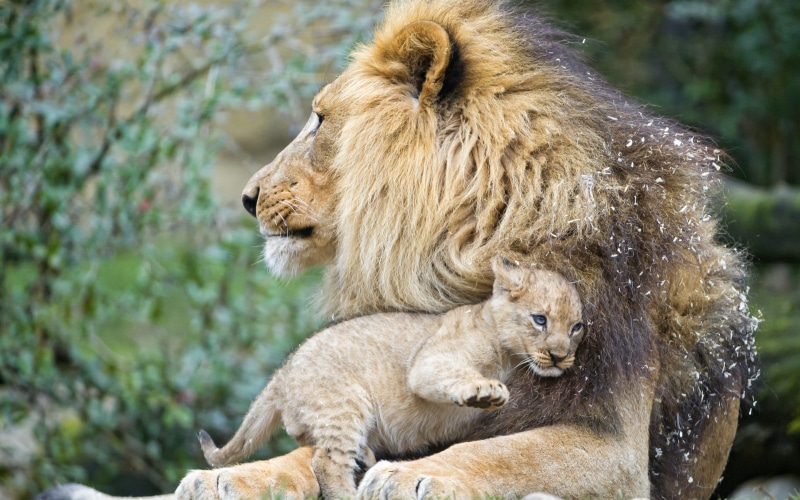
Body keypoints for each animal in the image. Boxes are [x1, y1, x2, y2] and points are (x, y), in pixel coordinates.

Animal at [198, 257, 584, 499]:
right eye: (540, 320)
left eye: (577, 327)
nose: (560, 356)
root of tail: (283, 371)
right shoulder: (428, 362)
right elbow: (451, 374)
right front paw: (484, 391)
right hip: (345, 404)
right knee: (325, 463)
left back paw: (366, 456)